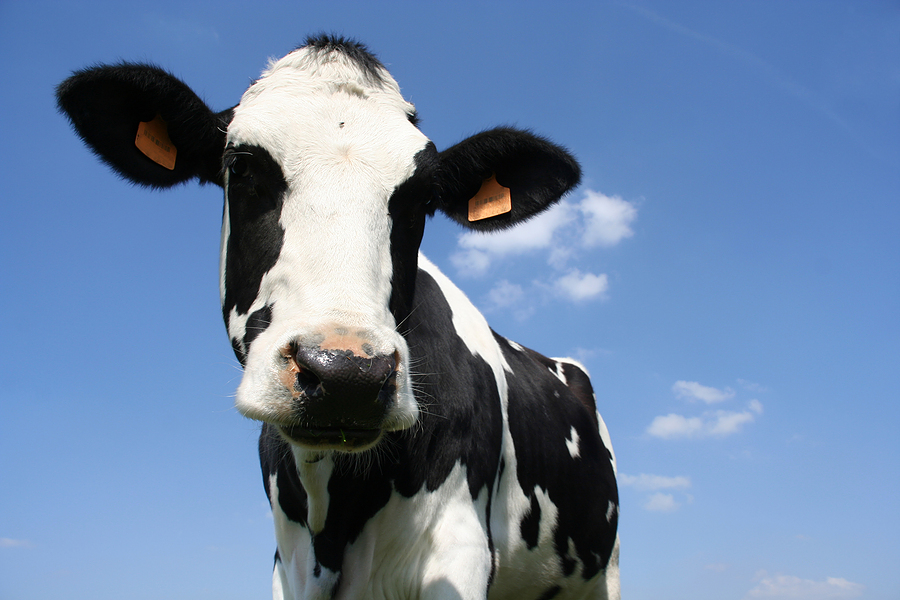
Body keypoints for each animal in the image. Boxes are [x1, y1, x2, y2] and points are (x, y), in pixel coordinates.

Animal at [57, 35, 619, 600]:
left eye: (425, 196)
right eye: (240, 166)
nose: (348, 374)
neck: (334, 512)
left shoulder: (458, 551)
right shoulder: (288, 565)